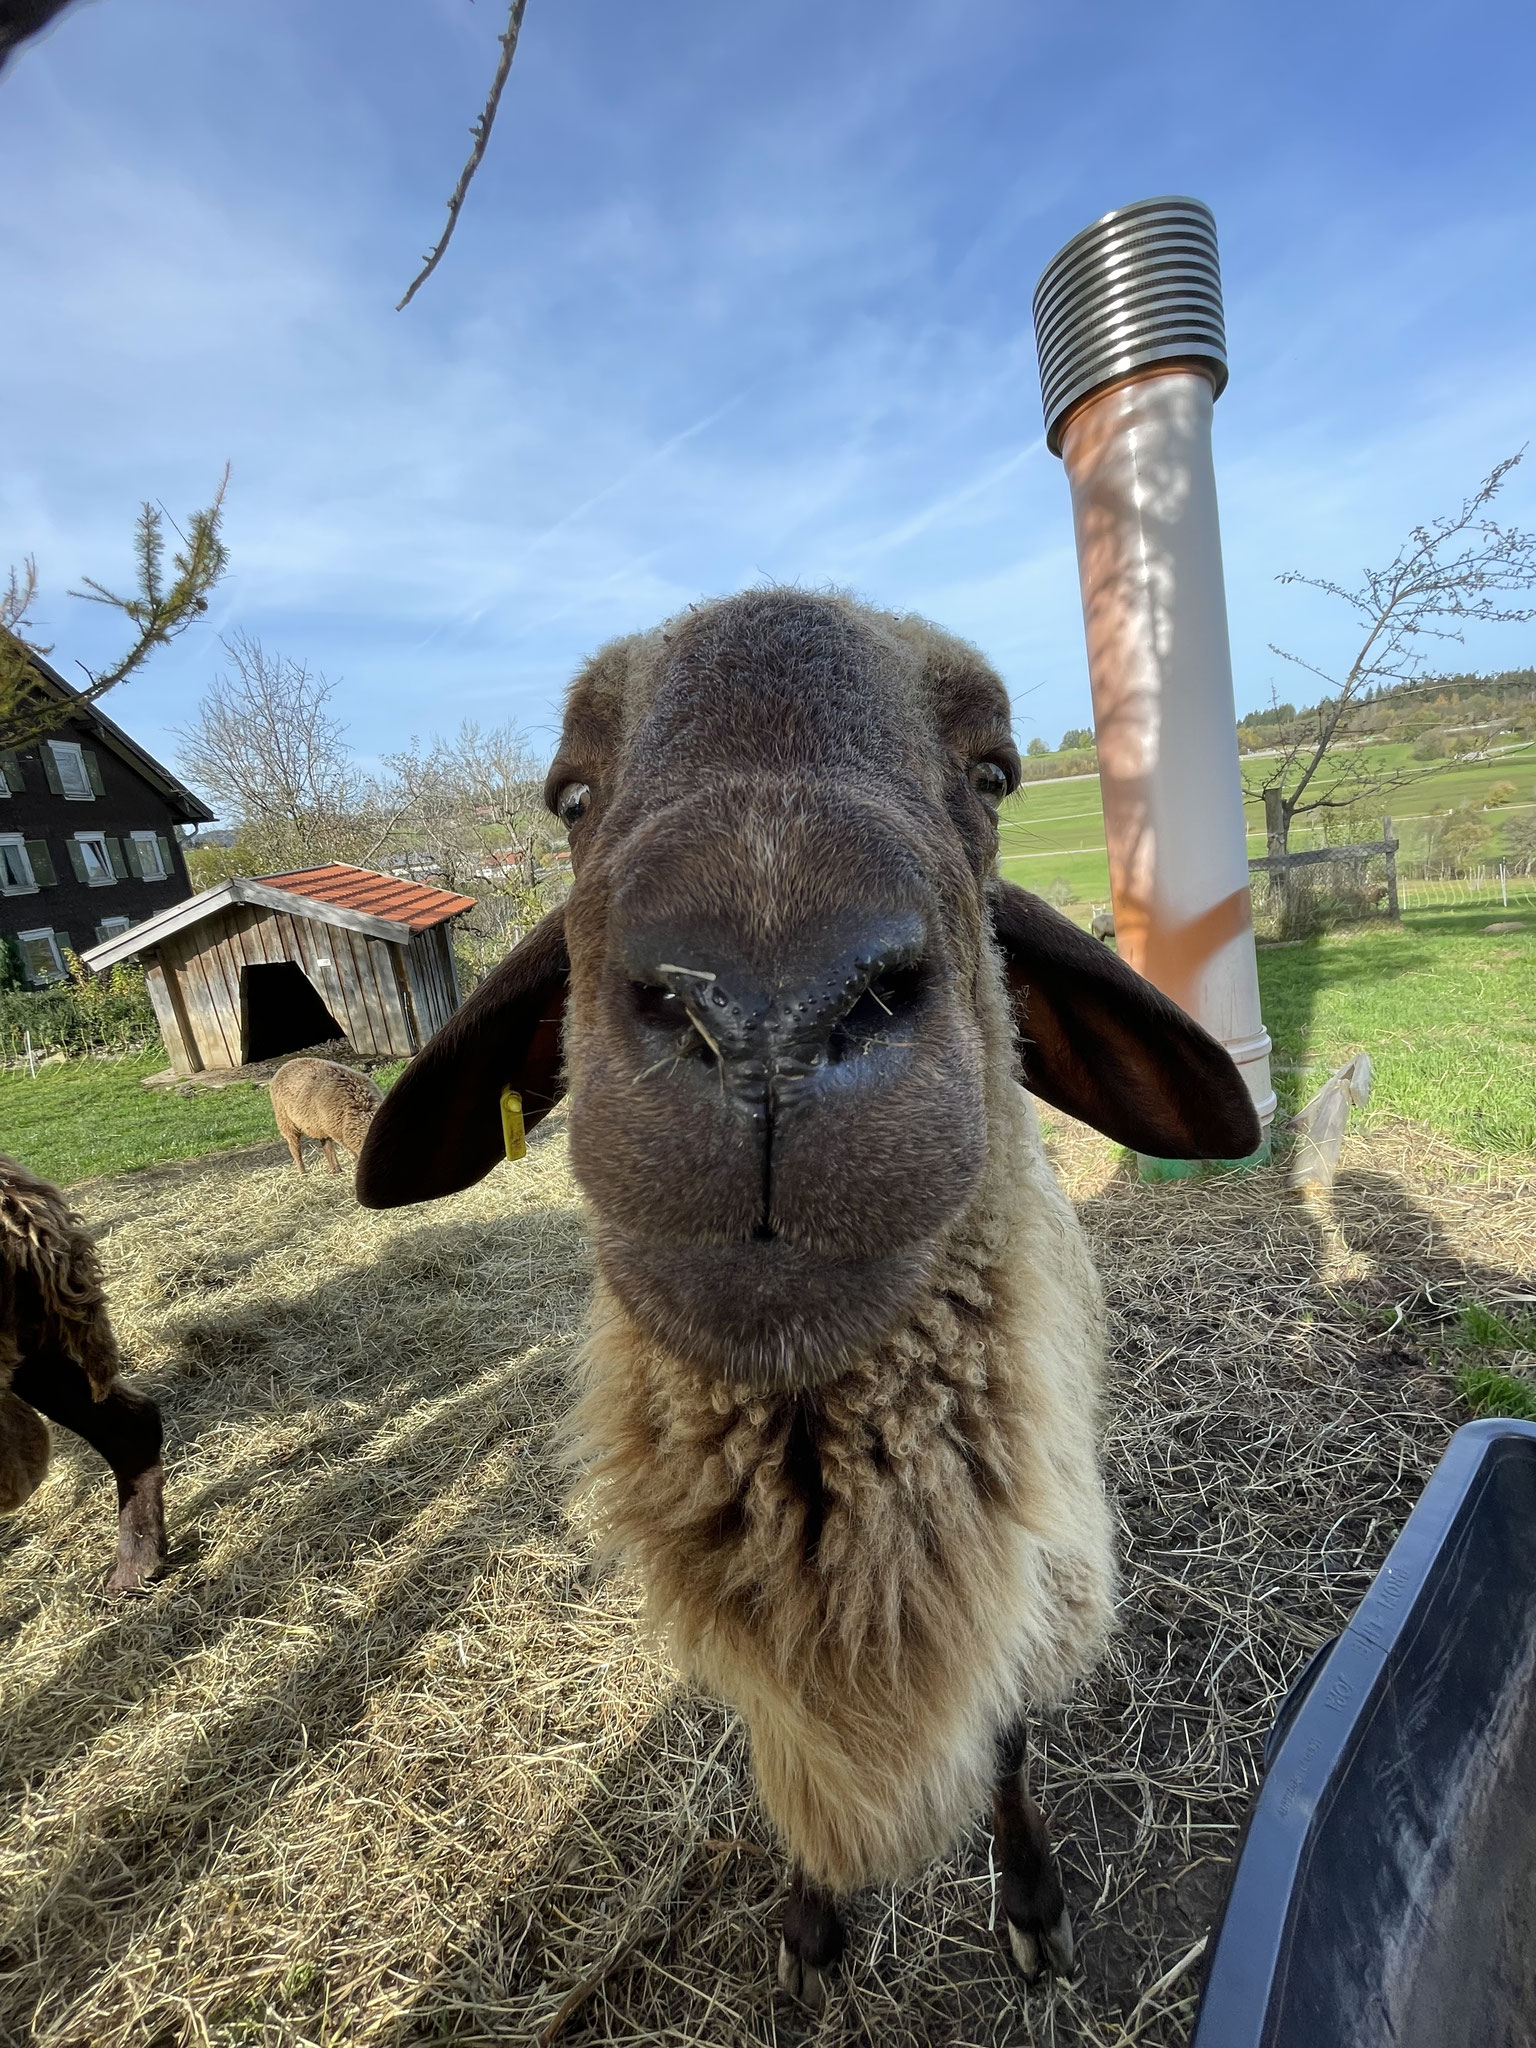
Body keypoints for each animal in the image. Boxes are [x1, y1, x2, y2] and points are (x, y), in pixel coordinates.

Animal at [355, 589, 1258, 2006]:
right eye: (569, 794)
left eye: (994, 772)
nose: (765, 1015)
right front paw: (808, 1921)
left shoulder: (1023, 1582)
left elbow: (1008, 1741)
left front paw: (1031, 1905)